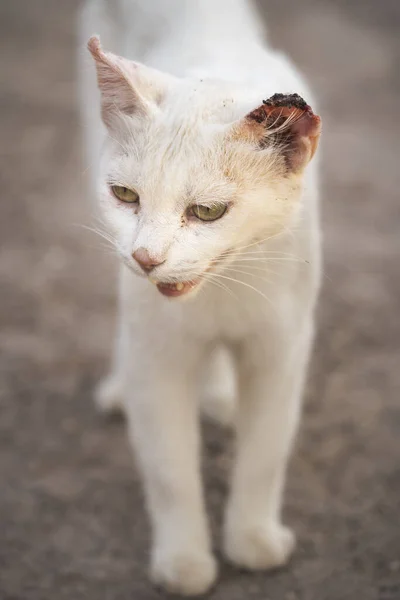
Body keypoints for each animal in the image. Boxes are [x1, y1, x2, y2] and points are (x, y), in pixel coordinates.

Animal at [78, 0, 322, 592]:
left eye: (208, 211)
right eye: (125, 195)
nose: (146, 257)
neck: (219, 293)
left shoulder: (282, 350)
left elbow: (266, 452)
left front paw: (253, 541)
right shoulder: (158, 355)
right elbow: (170, 468)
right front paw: (184, 562)